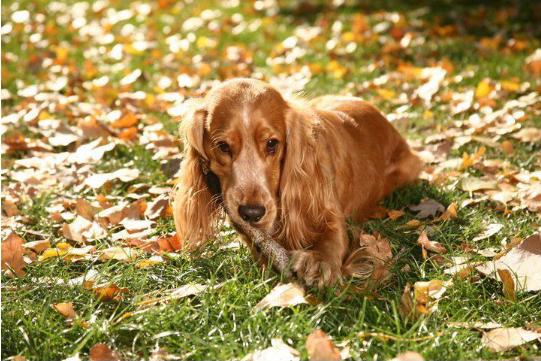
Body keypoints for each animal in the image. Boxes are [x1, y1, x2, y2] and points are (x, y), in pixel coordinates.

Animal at [173, 79, 422, 286]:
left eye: (272, 143)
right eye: (223, 146)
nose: (252, 213)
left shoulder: (331, 214)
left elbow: (332, 239)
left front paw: (319, 263)